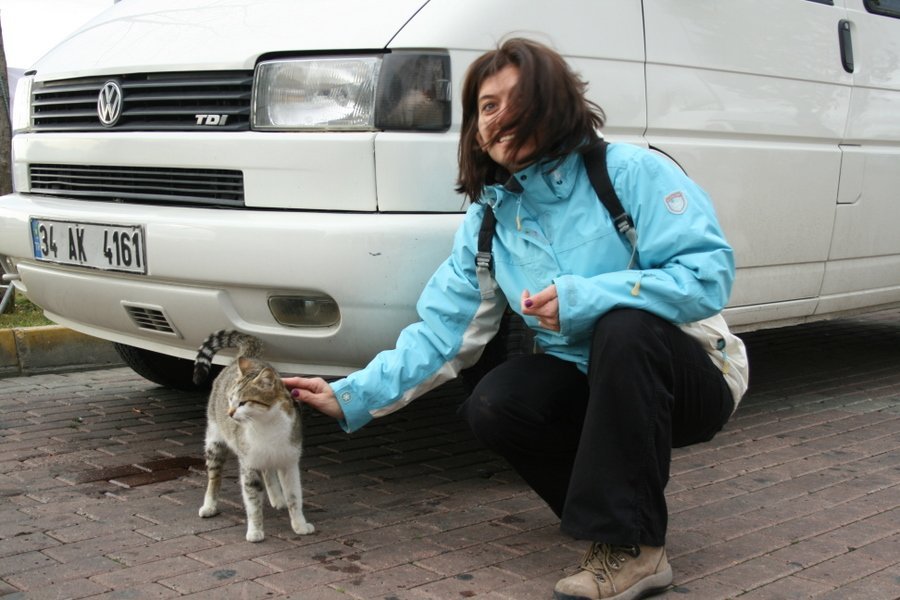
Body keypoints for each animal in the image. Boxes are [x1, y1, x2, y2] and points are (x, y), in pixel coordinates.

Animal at [193, 330, 314, 542]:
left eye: (243, 402)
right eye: (230, 399)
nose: (229, 413)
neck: (267, 426)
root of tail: (246, 357)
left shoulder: (289, 462)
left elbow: (294, 497)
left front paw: (299, 525)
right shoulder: (249, 464)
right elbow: (253, 501)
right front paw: (255, 530)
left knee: (269, 472)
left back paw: (277, 498)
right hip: (215, 442)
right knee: (214, 477)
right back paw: (209, 505)